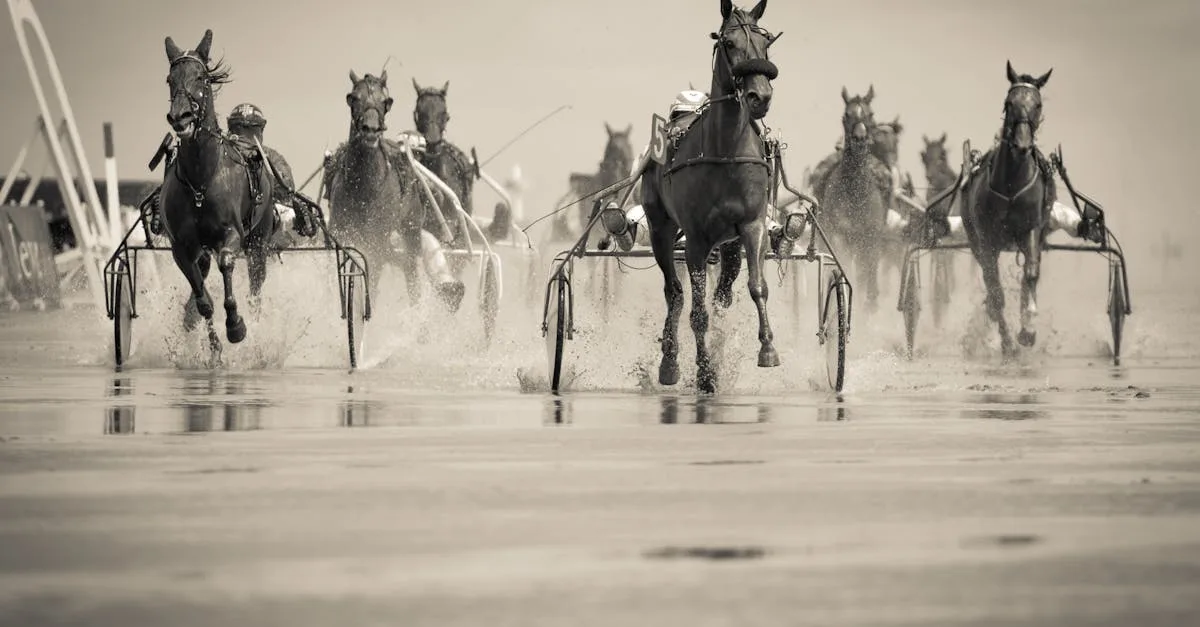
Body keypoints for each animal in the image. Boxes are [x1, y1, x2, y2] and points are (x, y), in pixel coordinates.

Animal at [159, 29, 312, 355]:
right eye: (170, 79)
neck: (201, 180)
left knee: (255, 287)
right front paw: (214, 348)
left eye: (201, 77)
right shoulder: (182, 248)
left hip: (259, 241)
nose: (181, 117)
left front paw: (236, 326)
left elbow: (227, 263)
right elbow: (203, 300)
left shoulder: (232, 234)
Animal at [323, 70, 465, 312]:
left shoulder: (376, 241)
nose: (370, 129)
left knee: (411, 271)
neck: (363, 187)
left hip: (410, 231)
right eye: (354, 98)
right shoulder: (343, 233)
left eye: (385, 101)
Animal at [640, 0, 781, 394]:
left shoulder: (752, 225)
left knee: (723, 290)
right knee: (674, 293)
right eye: (729, 42)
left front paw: (768, 348)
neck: (726, 152)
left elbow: (757, 287)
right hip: (660, 228)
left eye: (766, 43)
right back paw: (670, 362)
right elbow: (696, 312)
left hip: (728, 243)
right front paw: (704, 373)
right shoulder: (696, 240)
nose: (760, 96)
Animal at [818, 85, 892, 313]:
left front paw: (869, 304)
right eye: (846, 115)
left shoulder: (871, 238)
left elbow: (869, 278)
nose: (859, 139)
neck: (855, 193)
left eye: (870, 114)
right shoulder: (839, 236)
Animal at [960, 61, 1055, 357]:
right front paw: (1008, 342)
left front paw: (1028, 330)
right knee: (991, 283)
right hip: (975, 240)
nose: (1022, 144)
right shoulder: (986, 239)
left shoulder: (1032, 229)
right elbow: (996, 290)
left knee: (1029, 276)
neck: (1012, 185)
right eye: (1009, 102)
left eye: (1037, 104)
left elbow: (1031, 275)